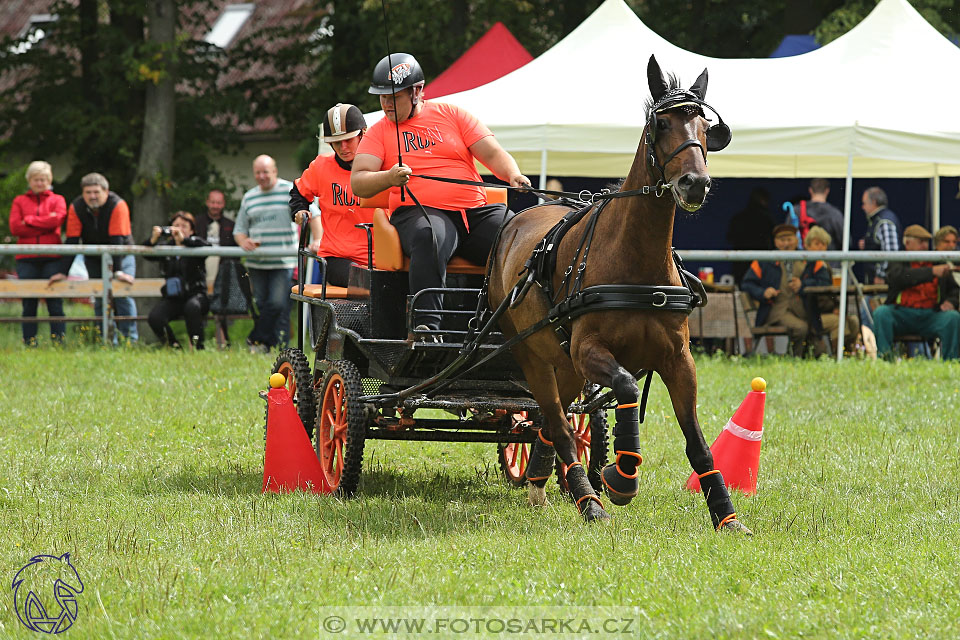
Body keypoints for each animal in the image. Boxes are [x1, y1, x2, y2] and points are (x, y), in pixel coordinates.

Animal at [492, 56, 752, 536]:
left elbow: (697, 441)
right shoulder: (591, 351)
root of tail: (520, 218)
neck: (636, 261)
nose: (695, 183)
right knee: (558, 421)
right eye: (662, 123)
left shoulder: (678, 359)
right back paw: (588, 500)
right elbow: (628, 385)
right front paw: (621, 477)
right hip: (534, 357)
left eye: (706, 127)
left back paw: (541, 483)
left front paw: (726, 516)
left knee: (555, 422)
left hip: (563, 362)